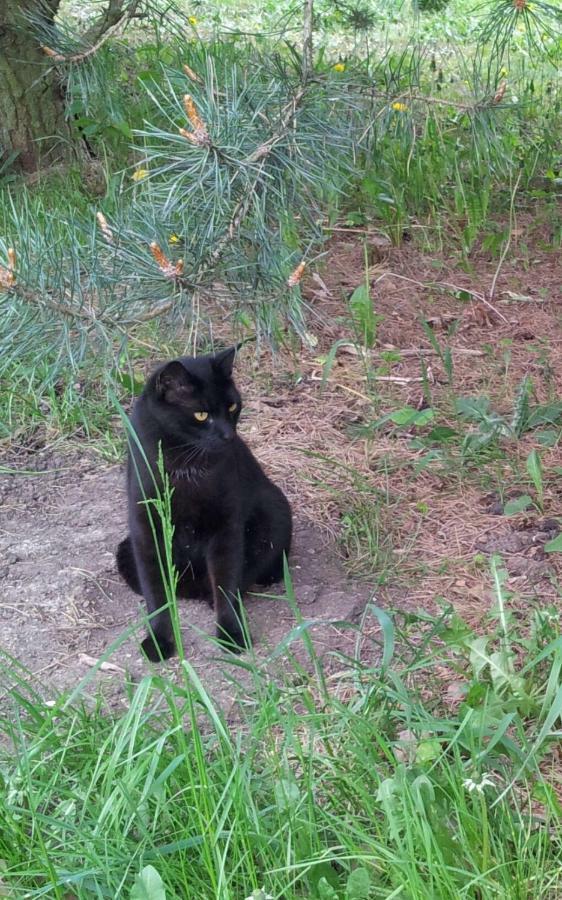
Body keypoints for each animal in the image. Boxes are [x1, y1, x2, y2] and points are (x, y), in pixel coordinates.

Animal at [115, 344, 290, 660]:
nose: (228, 435)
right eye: (200, 415)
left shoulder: (225, 526)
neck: (187, 465)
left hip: (275, 513)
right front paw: (159, 641)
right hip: (125, 548)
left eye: (232, 407)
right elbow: (156, 594)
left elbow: (225, 584)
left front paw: (231, 634)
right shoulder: (147, 529)